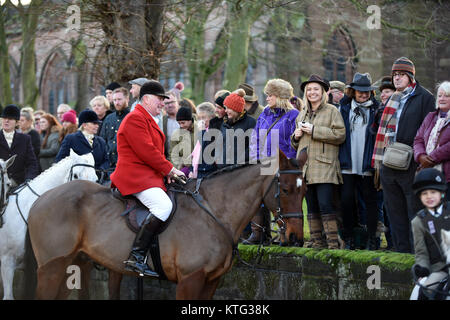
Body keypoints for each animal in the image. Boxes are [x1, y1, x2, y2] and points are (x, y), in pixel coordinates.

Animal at [28, 151, 308, 300]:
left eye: (305, 189)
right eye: (284, 189)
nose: (296, 238)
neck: (214, 211)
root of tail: (40, 199)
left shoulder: (211, 281)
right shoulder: (189, 280)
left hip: (73, 264)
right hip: (51, 268)